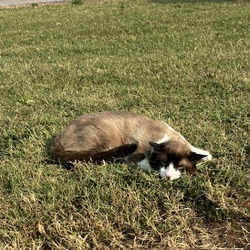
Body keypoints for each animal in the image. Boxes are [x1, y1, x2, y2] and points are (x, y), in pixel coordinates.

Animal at [51, 111, 212, 180]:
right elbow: (148, 164)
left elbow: (202, 153)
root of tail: (57, 140)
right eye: (163, 163)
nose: (167, 176)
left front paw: (206, 156)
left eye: (179, 167)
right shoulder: (136, 157)